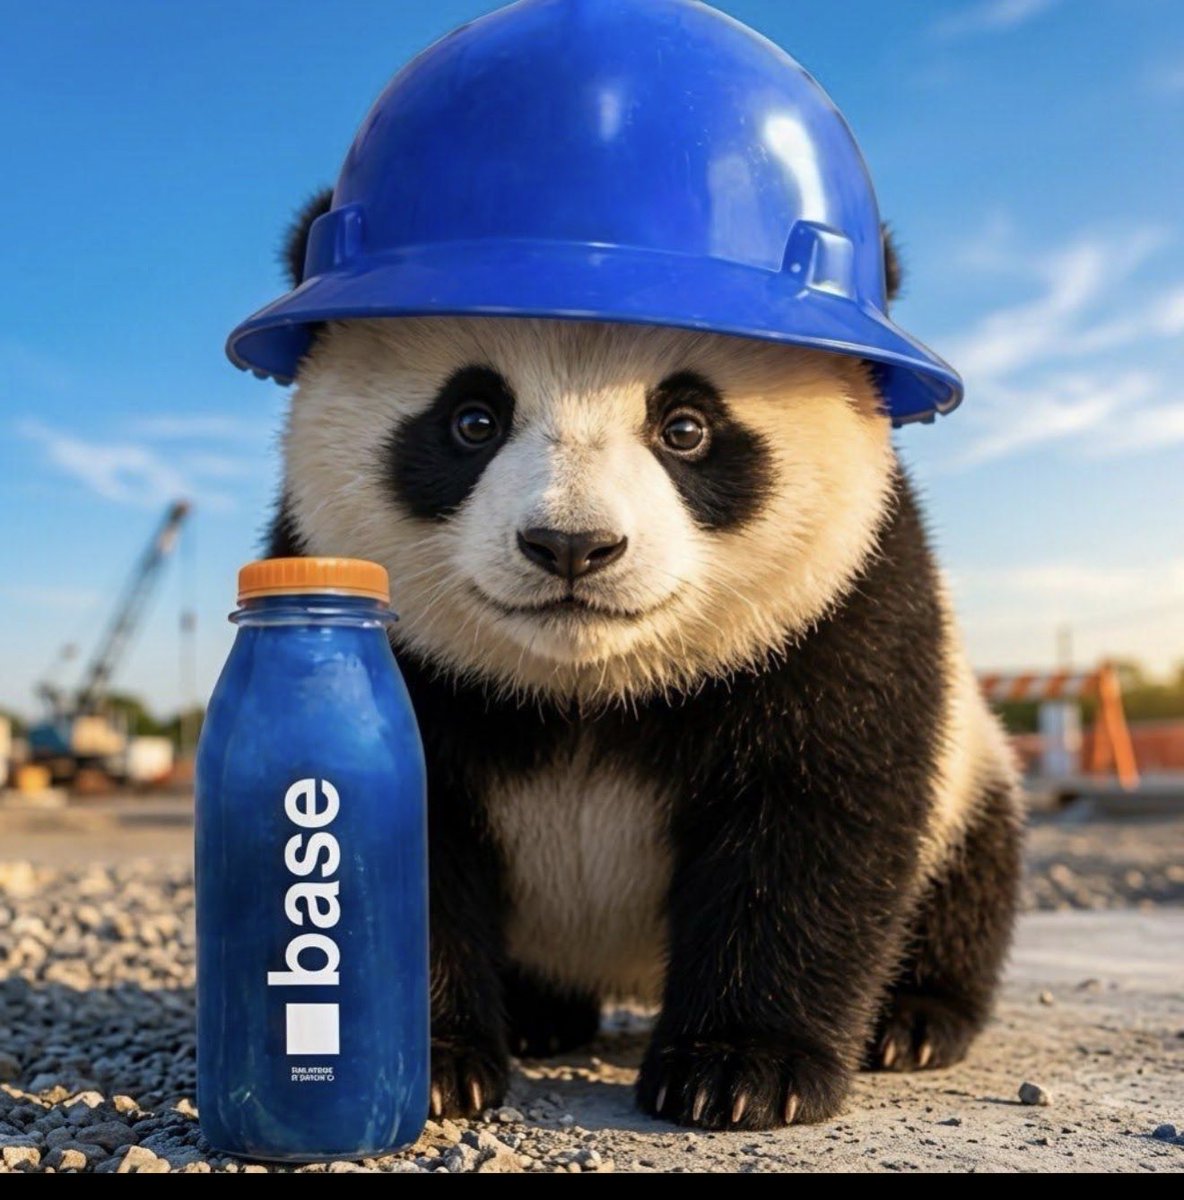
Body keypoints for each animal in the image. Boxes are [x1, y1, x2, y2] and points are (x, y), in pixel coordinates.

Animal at [268, 193, 1022, 1131]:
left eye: (686, 427)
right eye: (472, 420)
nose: (572, 546)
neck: (588, 683)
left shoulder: (845, 603)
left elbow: (817, 817)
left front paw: (742, 1072)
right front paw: (434, 1064)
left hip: (973, 768)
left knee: (972, 874)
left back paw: (914, 1023)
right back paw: (541, 1016)